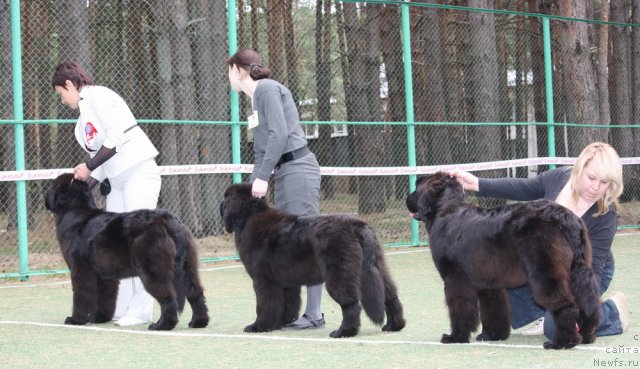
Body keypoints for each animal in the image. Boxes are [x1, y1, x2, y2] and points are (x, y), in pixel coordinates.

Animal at [45, 172, 210, 330]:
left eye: (52, 185)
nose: (46, 196)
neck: (75, 213)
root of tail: (168, 221)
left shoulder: (81, 270)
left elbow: (82, 296)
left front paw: (76, 320)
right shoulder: (105, 276)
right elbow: (105, 297)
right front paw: (99, 318)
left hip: (154, 271)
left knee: (168, 297)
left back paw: (162, 325)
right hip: (187, 267)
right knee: (196, 292)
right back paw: (198, 322)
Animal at [218, 183, 402, 338]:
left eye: (225, 197)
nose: (220, 204)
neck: (248, 217)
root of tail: (358, 226)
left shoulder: (264, 280)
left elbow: (265, 305)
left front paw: (259, 326)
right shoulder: (285, 282)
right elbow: (287, 304)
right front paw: (280, 324)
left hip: (339, 274)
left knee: (351, 304)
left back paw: (343, 332)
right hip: (376, 267)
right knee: (390, 296)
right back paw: (394, 326)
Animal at [404, 171, 600, 350]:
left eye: (416, 186)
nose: (407, 198)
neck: (447, 209)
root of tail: (564, 218)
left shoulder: (455, 279)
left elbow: (460, 309)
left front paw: (456, 337)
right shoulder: (489, 283)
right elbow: (493, 309)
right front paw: (492, 335)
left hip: (545, 272)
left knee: (566, 305)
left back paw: (562, 342)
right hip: (578, 272)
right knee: (589, 302)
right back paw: (587, 336)